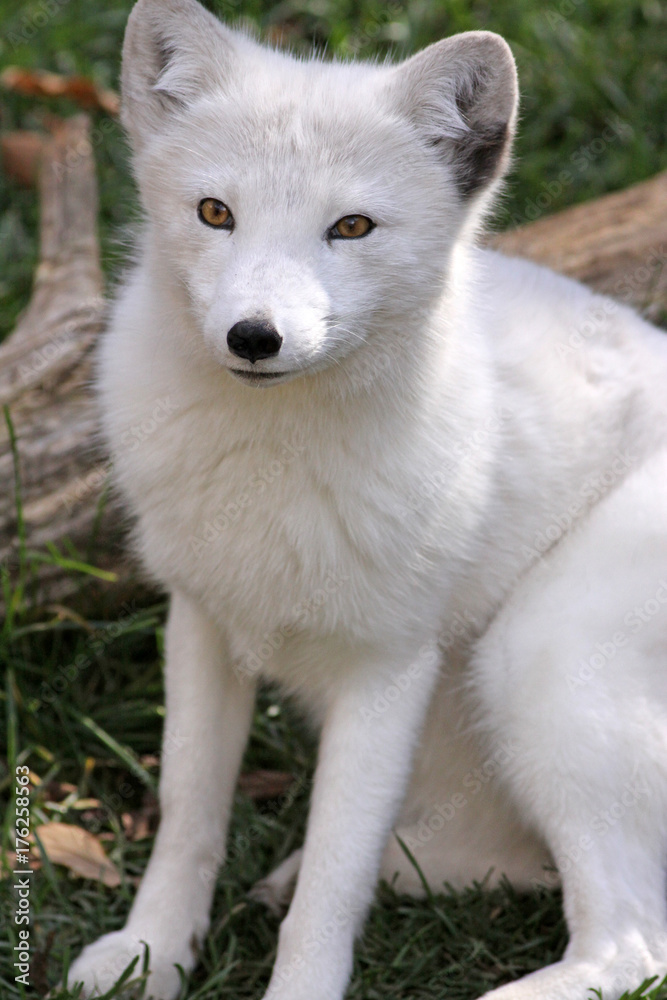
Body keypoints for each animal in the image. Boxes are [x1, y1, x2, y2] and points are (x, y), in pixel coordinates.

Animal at [66, 1, 667, 997]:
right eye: (215, 213)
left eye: (351, 227)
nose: (254, 336)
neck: (269, 464)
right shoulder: (201, 620)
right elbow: (188, 815)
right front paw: (148, 954)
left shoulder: (387, 670)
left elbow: (330, 892)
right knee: (506, 868)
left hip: (535, 660)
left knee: (632, 948)